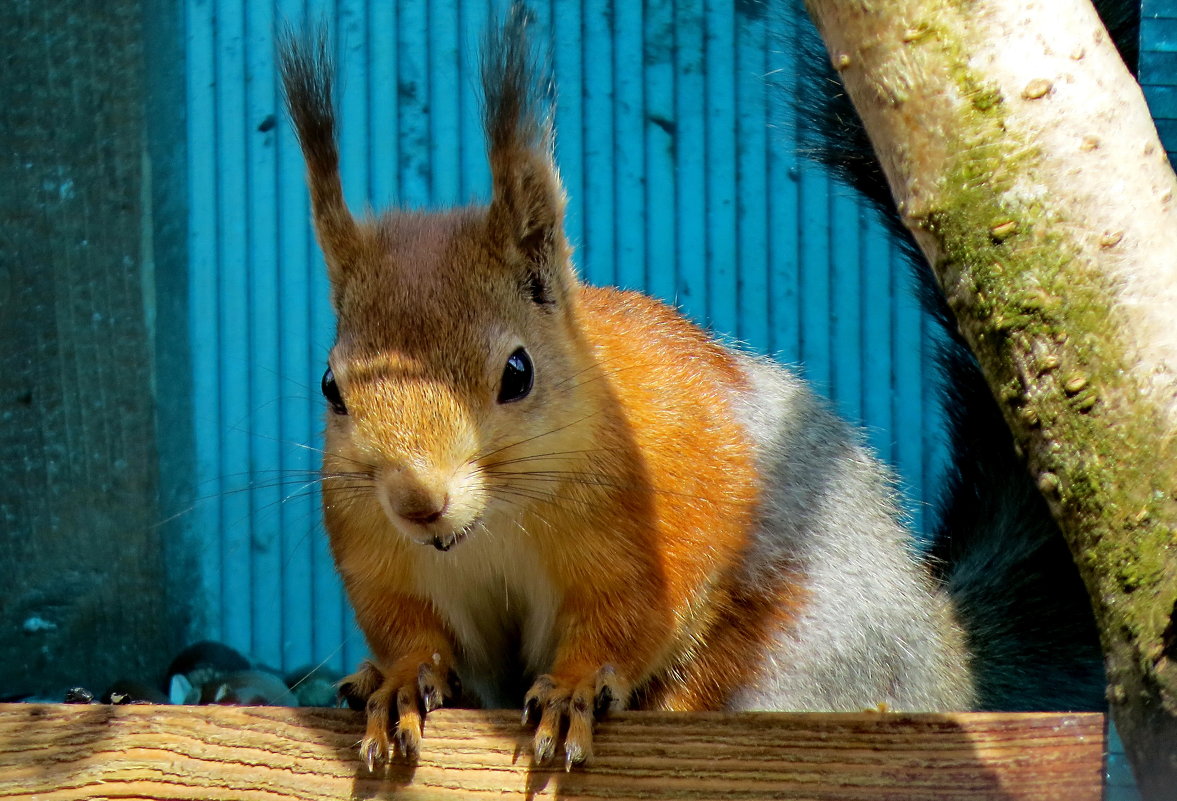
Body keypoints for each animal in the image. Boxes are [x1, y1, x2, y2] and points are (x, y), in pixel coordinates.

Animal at [280, 3, 1106, 771]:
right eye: (329, 386)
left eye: (517, 372)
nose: (419, 501)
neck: (491, 522)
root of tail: (943, 653)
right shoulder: (376, 549)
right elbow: (410, 631)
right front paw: (397, 680)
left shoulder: (655, 520)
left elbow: (625, 618)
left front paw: (574, 686)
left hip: (807, 646)